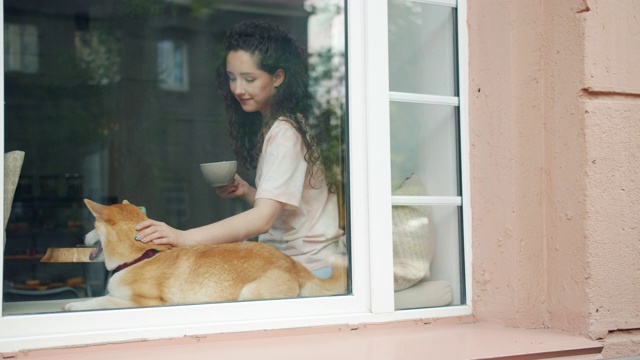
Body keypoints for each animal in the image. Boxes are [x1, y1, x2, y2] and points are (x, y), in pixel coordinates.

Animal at [63, 198, 348, 310]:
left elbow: (101, 302)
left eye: (92, 226)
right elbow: (101, 299)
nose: (79, 238)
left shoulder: (144, 303)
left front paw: (75, 305)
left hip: (248, 295)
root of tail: (293, 265)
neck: (143, 254)